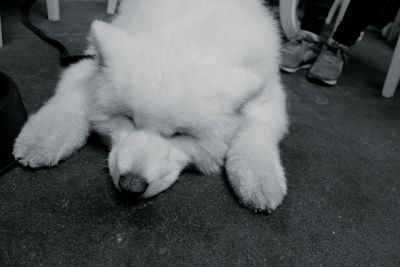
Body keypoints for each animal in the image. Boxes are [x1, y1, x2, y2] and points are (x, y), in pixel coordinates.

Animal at [13, 0, 288, 214]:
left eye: (180, 134)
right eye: (128, 118)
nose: (131, 185)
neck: (186, 39)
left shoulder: (269, 99)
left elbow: (256, 134)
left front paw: (260, 180)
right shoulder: (87, 66)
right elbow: (70, 101)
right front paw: (42, 139)